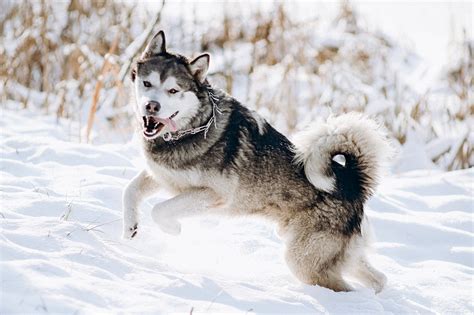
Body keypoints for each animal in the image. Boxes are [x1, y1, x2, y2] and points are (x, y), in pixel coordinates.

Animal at [122, 30, 388, 294]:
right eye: (147, 83)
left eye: (173, 91)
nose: (151, 106)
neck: (192, 128)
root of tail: (351, 182)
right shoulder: (160, 176)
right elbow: (130, 190)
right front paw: (130, 227)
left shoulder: (212, 195)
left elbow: (159, 209)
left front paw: (173, 228)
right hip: (338, 256)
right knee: (380, 278)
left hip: (304, 261)